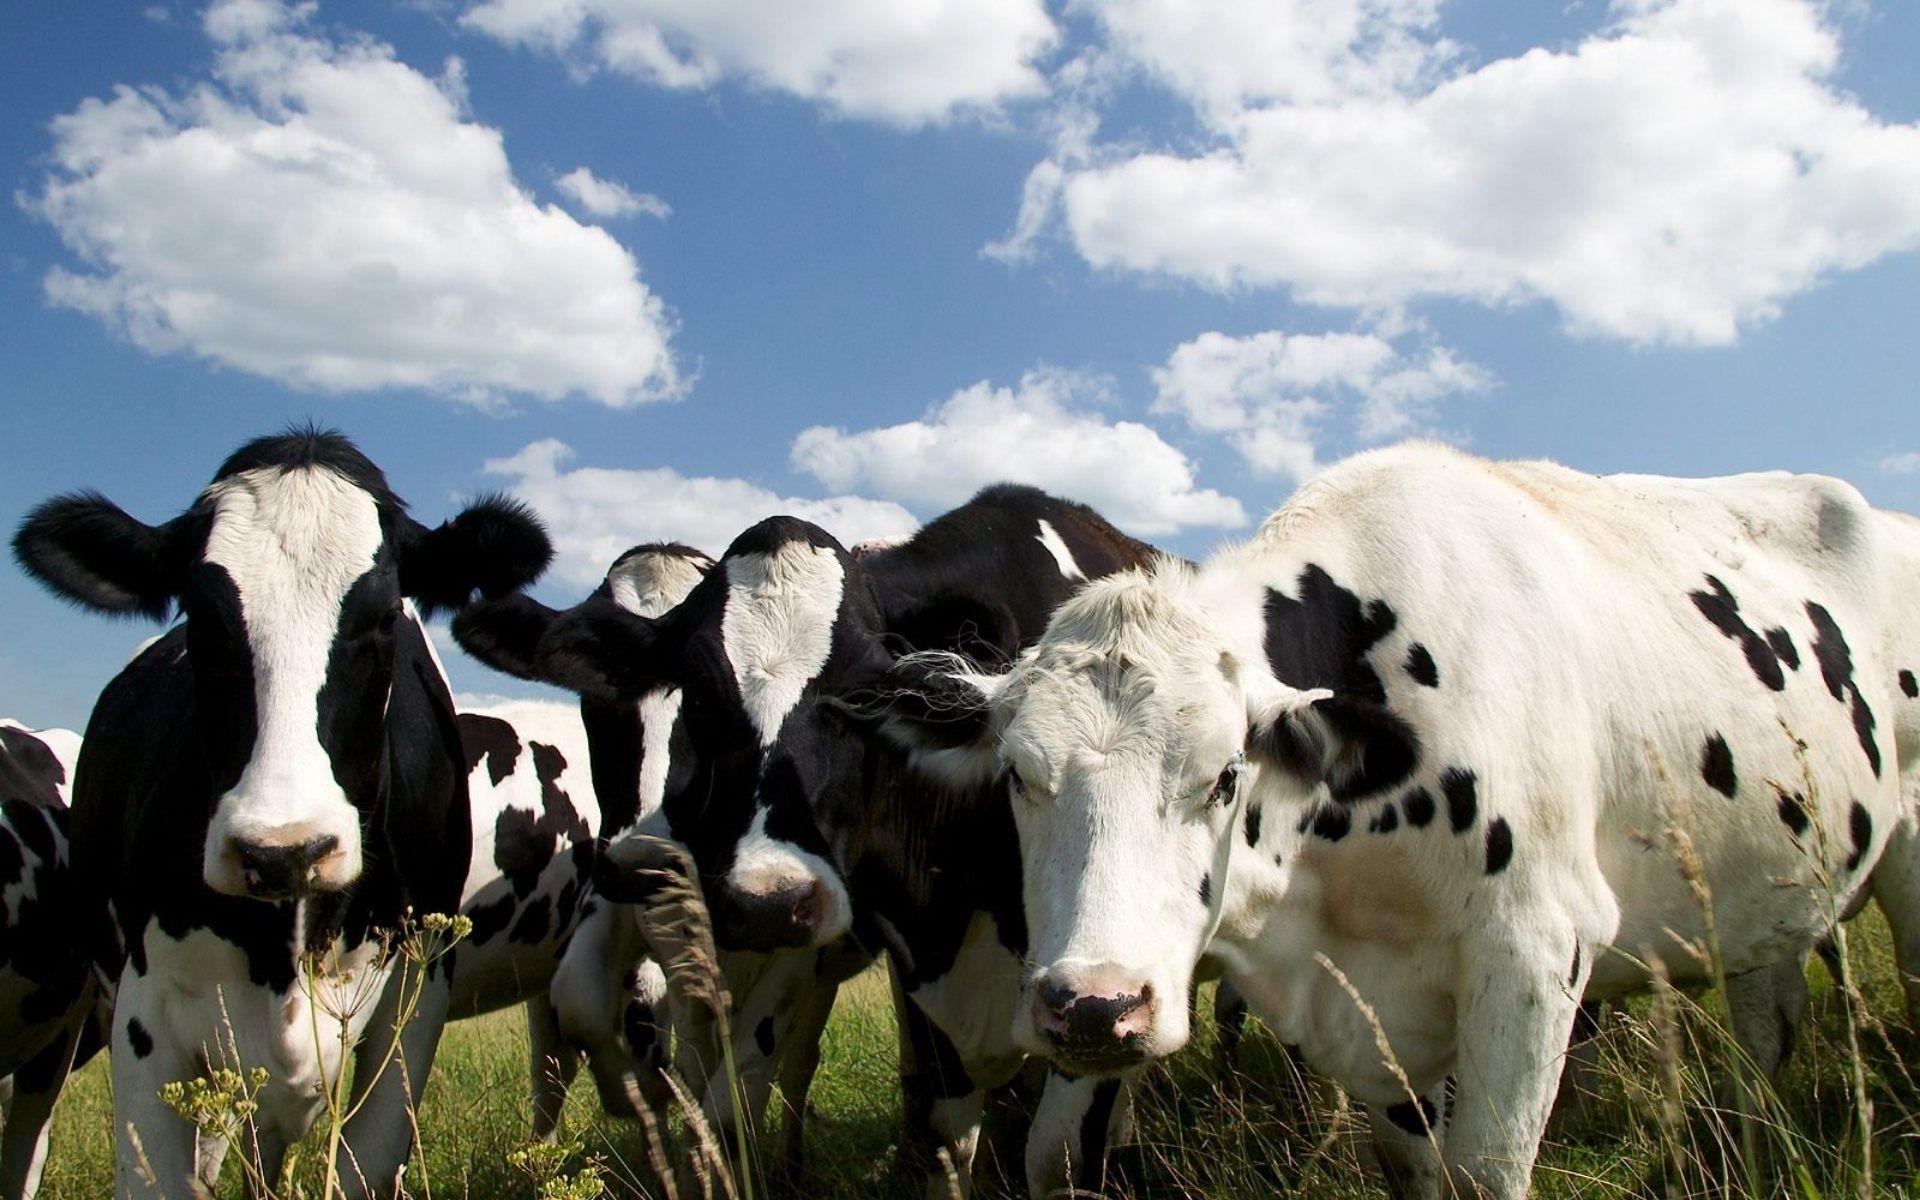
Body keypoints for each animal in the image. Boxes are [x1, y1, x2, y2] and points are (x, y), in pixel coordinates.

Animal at [860, 443, 1920, 1199]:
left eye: (1225, 775)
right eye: (1018, 775)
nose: (1093, 1005)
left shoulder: (1536, 951)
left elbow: (1482, 1176)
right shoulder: (1375, 1023)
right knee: (1766, 1028)